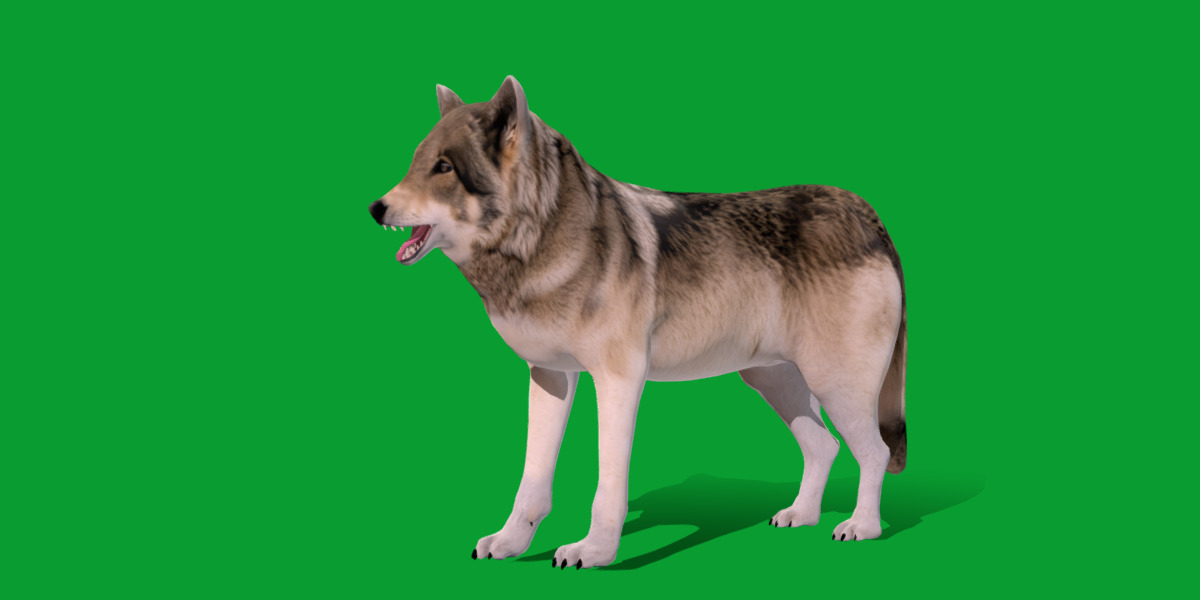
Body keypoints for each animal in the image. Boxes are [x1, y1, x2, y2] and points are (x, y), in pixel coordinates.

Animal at [367, 77, 907, 569]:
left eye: (443, 167)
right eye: (416, 162)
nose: (375, 207)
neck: (540, 239)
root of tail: (869, 214)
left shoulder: (618, 381)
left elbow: (608, 483)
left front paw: (593, 552)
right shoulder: (549, 378)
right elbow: (532, 480)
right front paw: (510, 543)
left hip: (835, 386)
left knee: (875, 453)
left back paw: (862, 526)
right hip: (774, 381)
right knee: (825, 448)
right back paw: (801, 515)